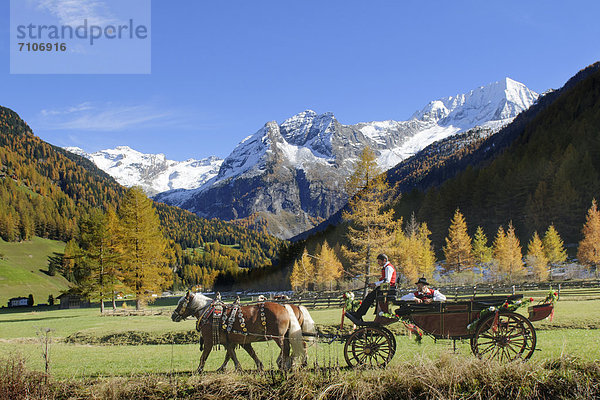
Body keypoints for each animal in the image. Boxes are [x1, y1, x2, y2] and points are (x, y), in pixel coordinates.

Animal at [172, 290, 304, 372]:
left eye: (181, 303)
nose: (173, 316)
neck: (209, 313)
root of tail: (284, 307)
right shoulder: (232, 340)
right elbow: (234, 354)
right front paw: (238, 367)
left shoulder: (209, 341)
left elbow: (204, 356)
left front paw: (199, 369)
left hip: (278, 336)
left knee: (285, 348)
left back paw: (285, 364)